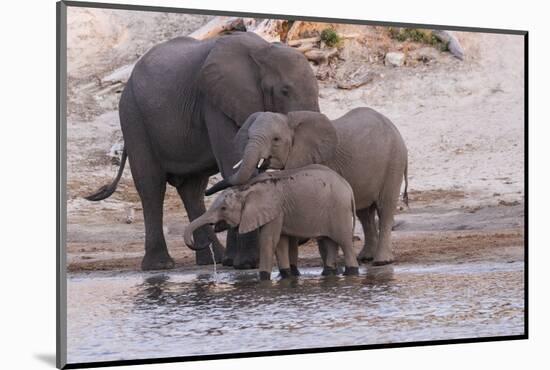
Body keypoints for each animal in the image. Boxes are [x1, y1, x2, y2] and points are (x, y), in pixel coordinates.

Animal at [84, 31, 322, 270]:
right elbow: (233, 164)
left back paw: (211, 259)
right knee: (151, 185)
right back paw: (160, 266)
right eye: (284, 91)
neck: (262, 52)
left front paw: (234, 263)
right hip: (132, 117)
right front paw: (247, 264)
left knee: (192, 190)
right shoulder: (215, 103)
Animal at [185, 165, 360, 280]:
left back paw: (351, 273)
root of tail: (348, 187)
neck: (246, 190)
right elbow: (280, 242)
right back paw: (328, 274)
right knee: (330, 242)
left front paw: (263, 278)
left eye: (223, 208)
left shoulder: (275, 210)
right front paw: (285, 276)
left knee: (344, 241)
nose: (205, 242)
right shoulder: (277, 212)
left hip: (339, 210)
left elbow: (268, 241)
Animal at [207, 107, 410, 266]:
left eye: (276, 140)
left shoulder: (320, 161)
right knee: (364, 213)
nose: (207, 191)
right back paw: (366, 258)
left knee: (384, 208)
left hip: (394, 161)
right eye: (248, 137)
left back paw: (382, 261)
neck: (290, 120)